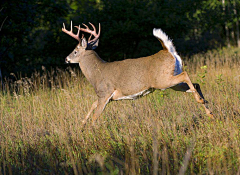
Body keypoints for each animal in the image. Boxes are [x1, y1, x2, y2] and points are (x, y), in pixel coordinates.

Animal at [62, 20, 214, 124]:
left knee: (186, 75)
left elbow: (95, 117)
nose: (66, 58)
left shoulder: (105, 93)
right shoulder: (104, 97)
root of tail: (167, 50)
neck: (96, 73)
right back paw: (209, 112)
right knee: (196, 84)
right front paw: (82, 125)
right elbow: (92, 106)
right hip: (172, 82)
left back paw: (201, 101)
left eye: (75, 50)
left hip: (162, 80)